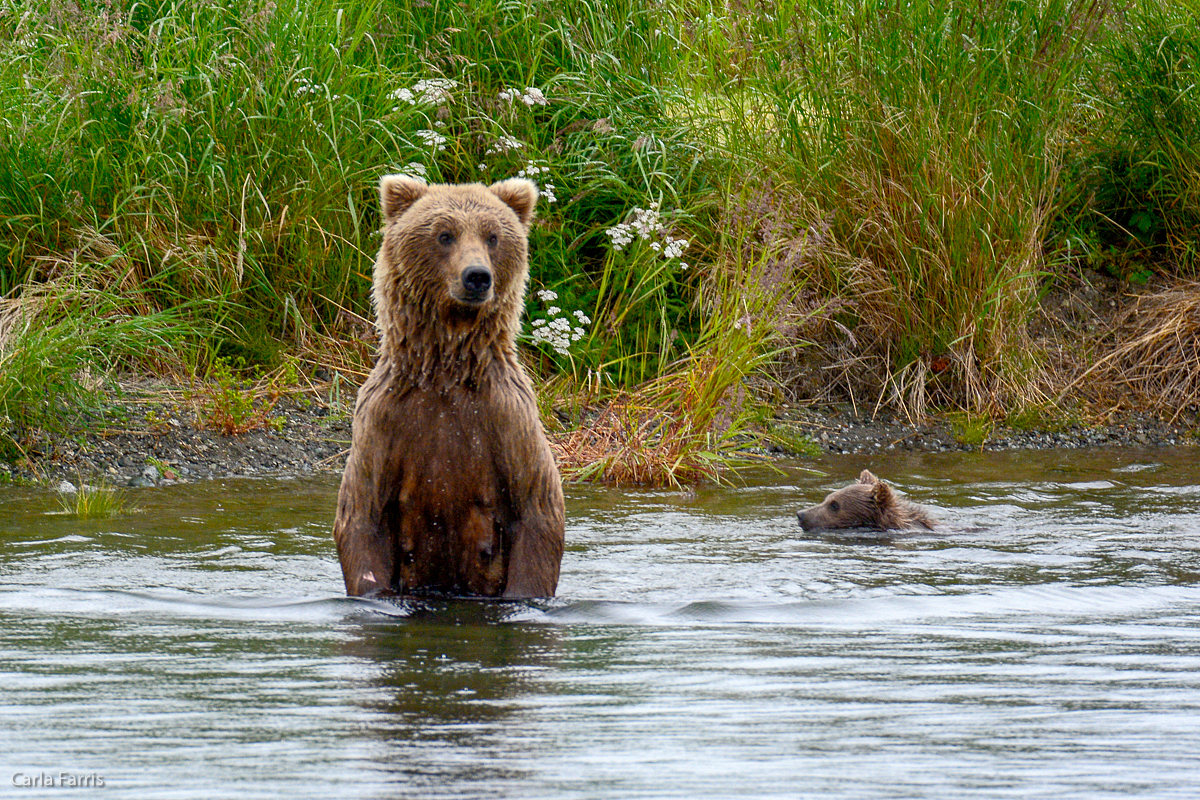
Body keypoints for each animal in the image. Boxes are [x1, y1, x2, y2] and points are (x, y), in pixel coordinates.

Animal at [336, 176, 564, 599]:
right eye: (444, 234)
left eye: (493, 236)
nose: (477, 276)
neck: (446, 368)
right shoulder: (384, 422)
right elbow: (362, 517)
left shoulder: (505, 417)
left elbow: (537, 513)